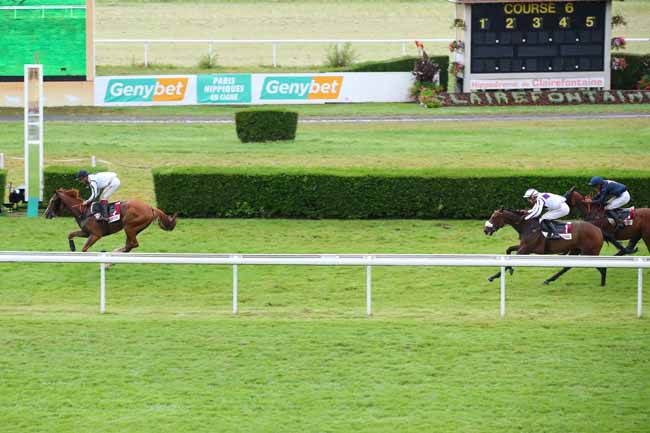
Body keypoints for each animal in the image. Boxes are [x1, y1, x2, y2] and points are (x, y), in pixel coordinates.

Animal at [43, 189, 177, 253]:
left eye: (52, 201)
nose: (46, 214)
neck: (84, 211)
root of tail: (150, 207)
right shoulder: (86, 232)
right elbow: (70, 234)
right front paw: (72, 247)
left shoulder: (95, 235)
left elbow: (84, 248)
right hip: (134, 229)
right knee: (130, 245)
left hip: (129, 226)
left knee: (132, 244)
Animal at [480, 208, 608, 286]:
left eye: (494, 217)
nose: (486, 230)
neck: (527, 225)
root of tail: (598, 230)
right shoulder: (523, 246)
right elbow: (509, 249)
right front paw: (509, 270)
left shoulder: (526, 249)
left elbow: (511, 259)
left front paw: (493, 277)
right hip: (576, 250)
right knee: (567, 266)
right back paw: (549, 280)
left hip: (589, 252)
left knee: (601, 266)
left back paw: (603, 283)